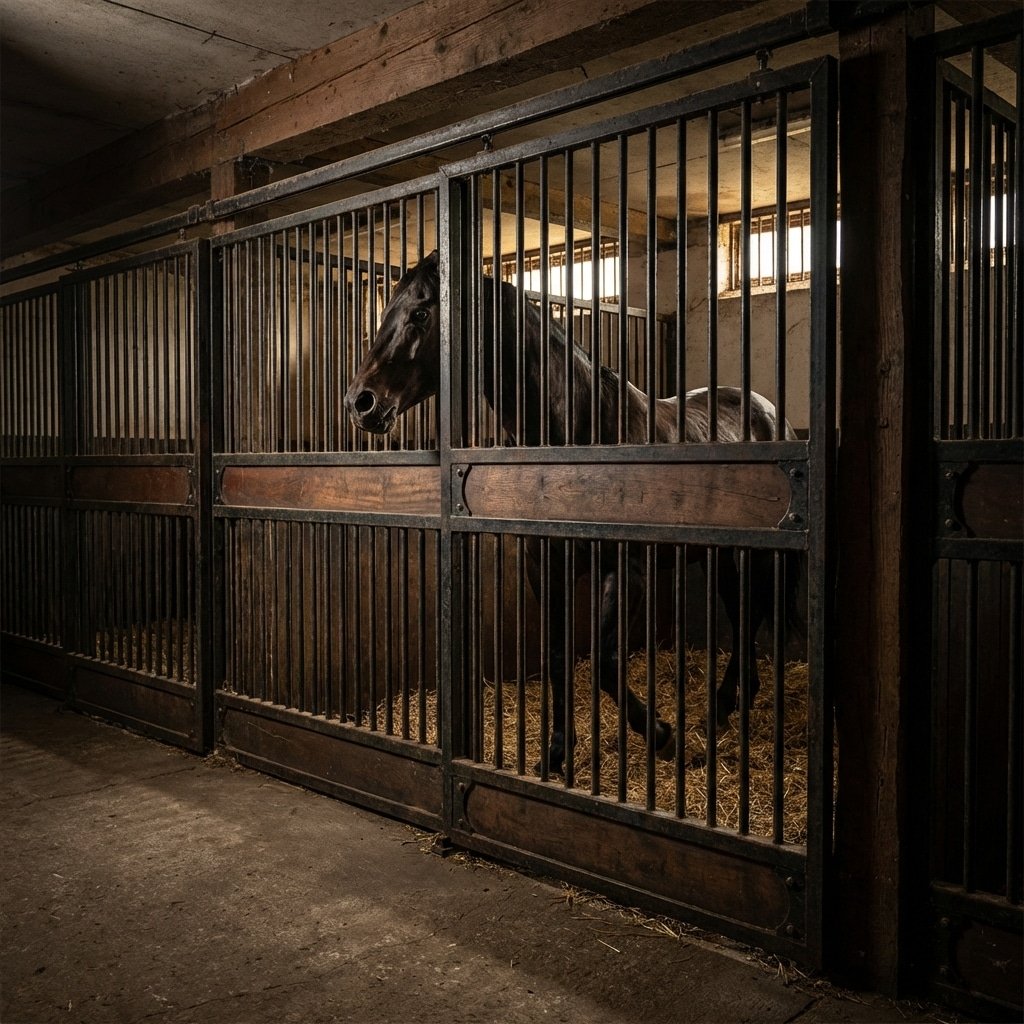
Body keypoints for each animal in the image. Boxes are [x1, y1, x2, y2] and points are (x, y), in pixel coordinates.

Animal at [345, 250, 798, 776]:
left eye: (420, 313)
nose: (360, 402)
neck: (579, 429)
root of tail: (767, 410)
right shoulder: (546, 567)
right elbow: (560, 654)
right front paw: (559, 752)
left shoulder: (626, 572)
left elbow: (602, 662)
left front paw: (663, 737)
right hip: (718, 557)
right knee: (744, 618)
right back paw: (724, 713)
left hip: (748, 556)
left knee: (751, 616)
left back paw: (717, 714)